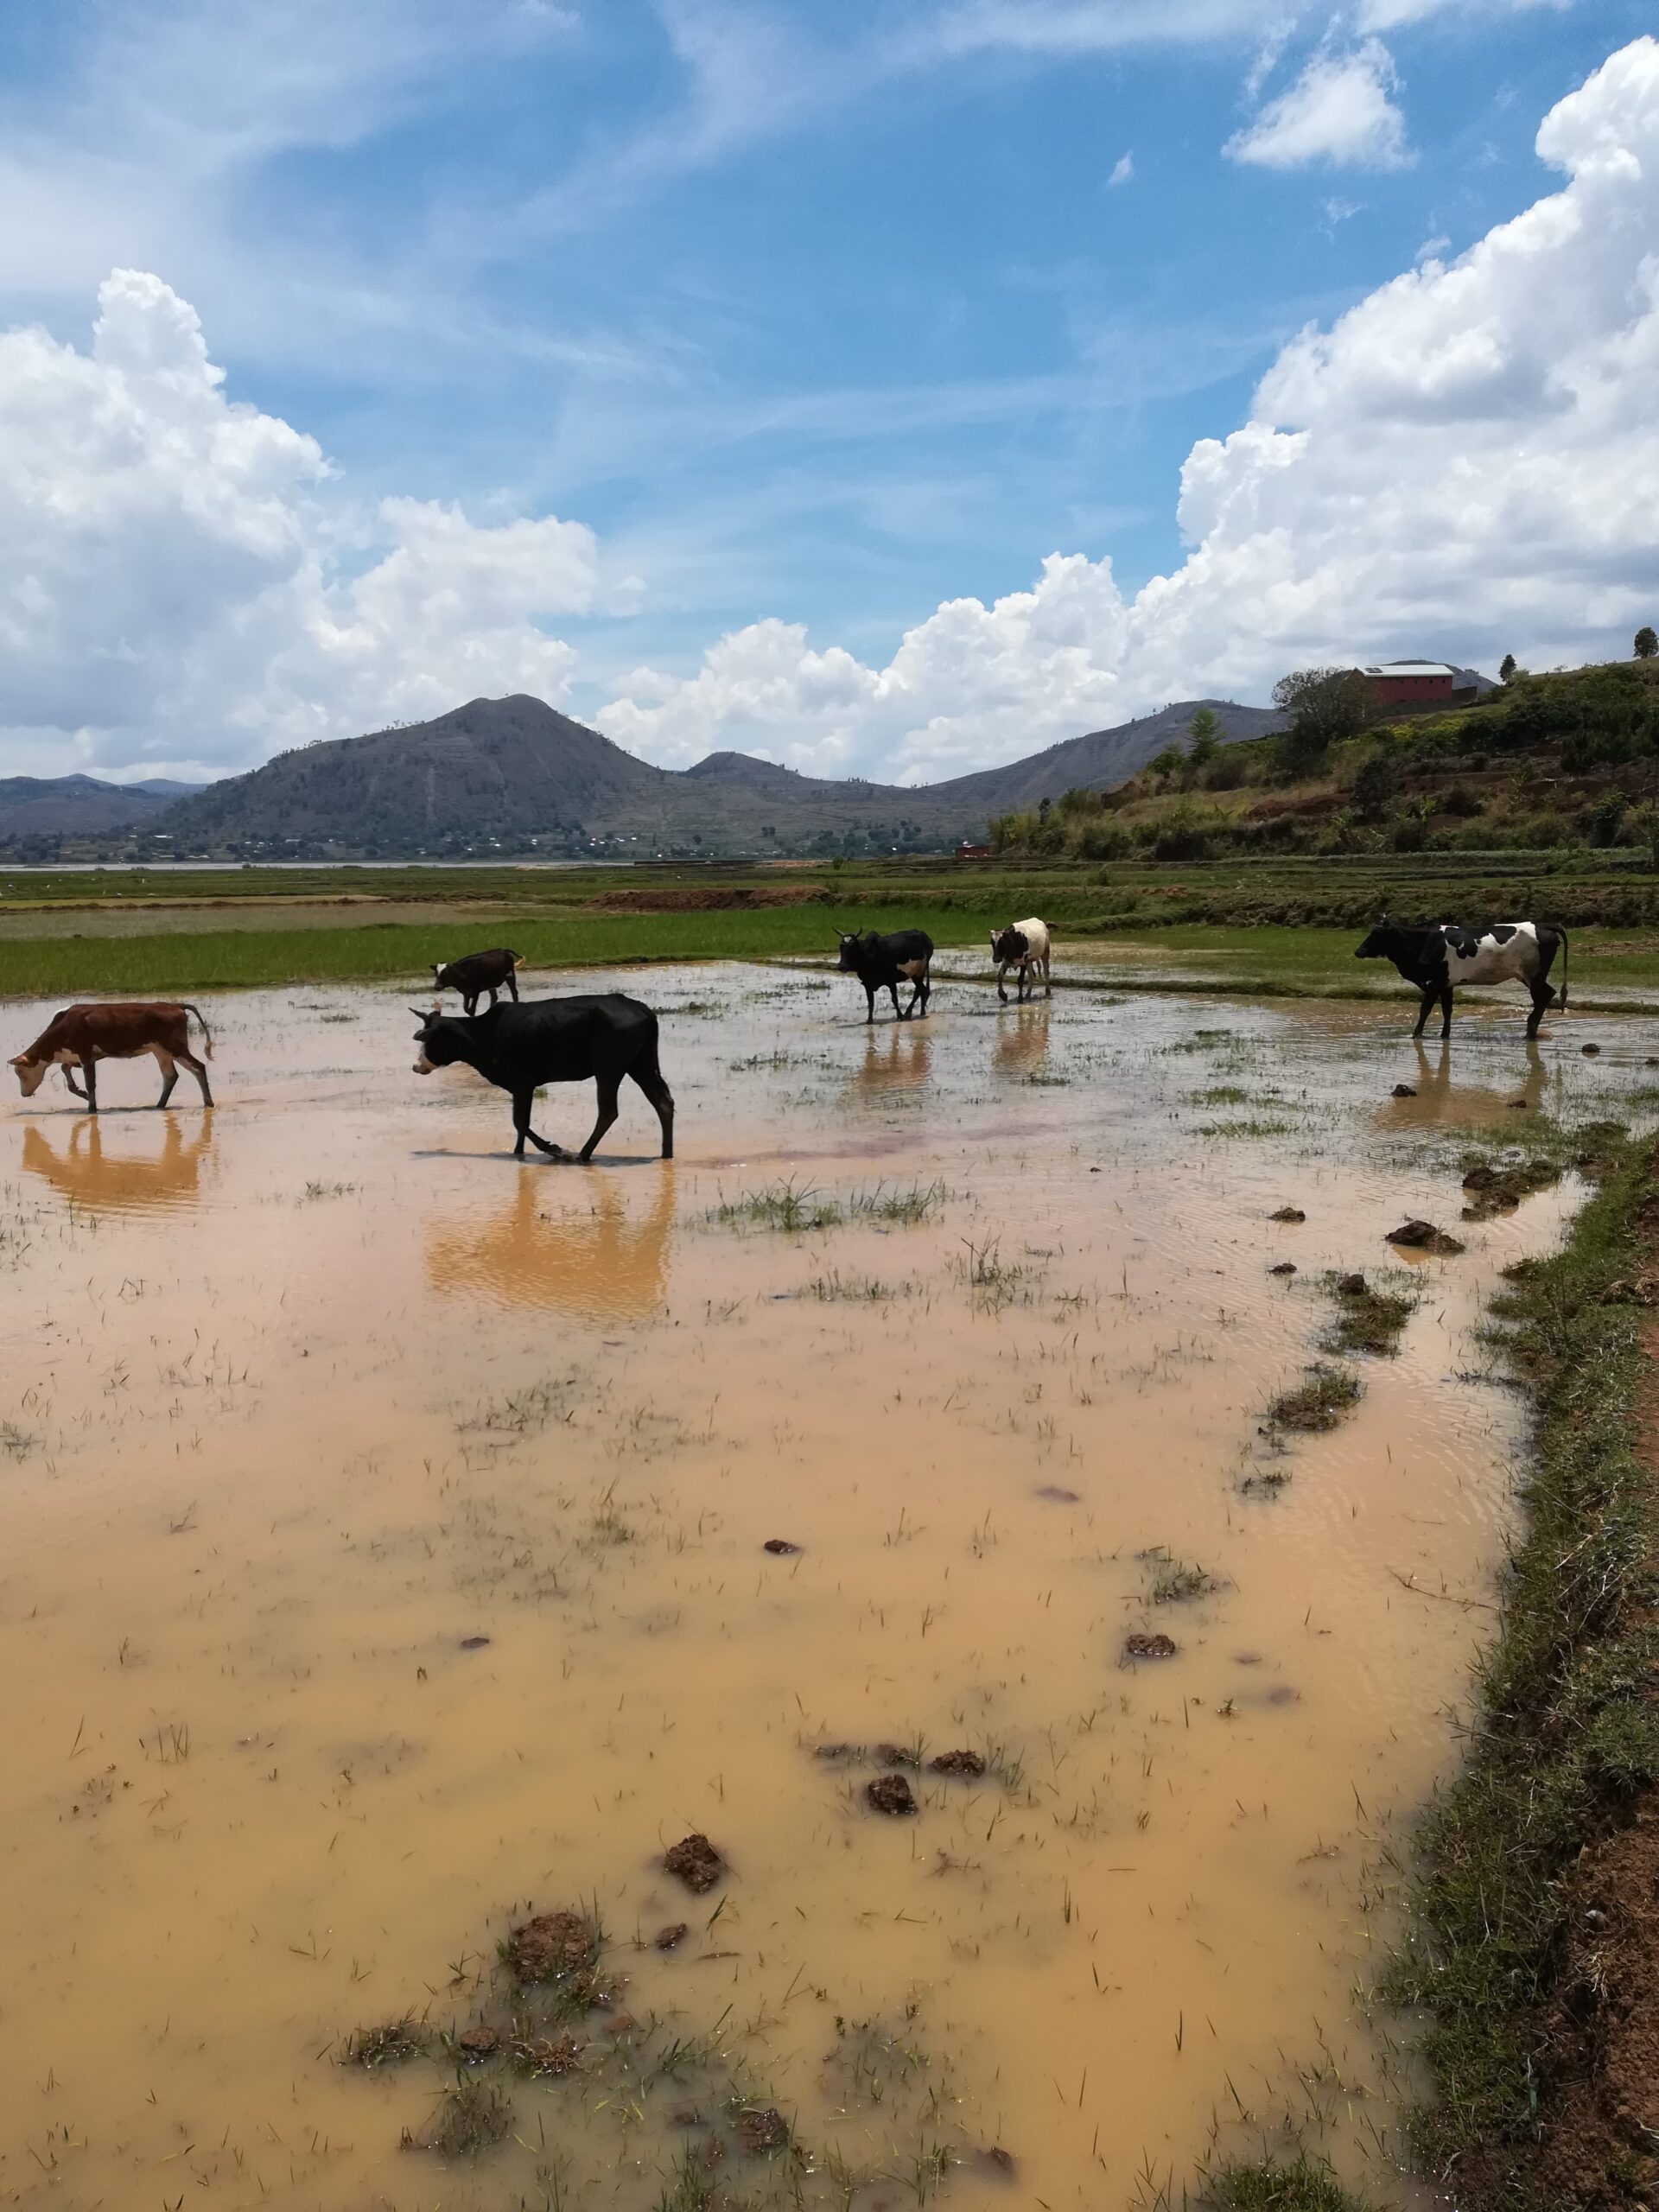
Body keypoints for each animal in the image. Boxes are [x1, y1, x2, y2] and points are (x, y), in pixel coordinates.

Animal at [10, 1002, 215, 1111]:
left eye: (19, 1072)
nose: (23, 1094)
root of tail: (174, 1005)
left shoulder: (86, 1055)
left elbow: (90, 1083)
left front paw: (91, 1108)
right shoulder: (72, 1057)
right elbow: (68, 1077)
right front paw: (83, 1095)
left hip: (175, 1047)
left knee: (198, 1067)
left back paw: (208, 1103)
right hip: (160, 1051)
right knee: (170, 1076)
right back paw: (159, 1105)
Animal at [411, 994, 673, 1162]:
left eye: (430, 1039)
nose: (416, 1066)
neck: (484, 1037)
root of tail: (641, 1009)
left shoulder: (523, 1082)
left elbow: (520, 1122)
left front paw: (555, 1149)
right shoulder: (520, 1087)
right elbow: (520, 1124)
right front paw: (518, 1152)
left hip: (609, 1068)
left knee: (608, 1112)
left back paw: (583, 1154)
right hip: (641, 1063)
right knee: (663, 1103)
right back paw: (666, 1153)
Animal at [1354, 917, 1568, 1039]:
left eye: (1377, 934)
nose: (1358, 951)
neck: (1423, 942)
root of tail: (1542, 924)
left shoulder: (1434, 983)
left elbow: (1425, 1010)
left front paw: (1416, 1034)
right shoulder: (1447, 984)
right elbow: (1447, 1010)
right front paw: (1444, 1035)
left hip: (1533, 976)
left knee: (1544, 996)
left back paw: (1530, 1028)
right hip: (1529, 976)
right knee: (1547, 995)